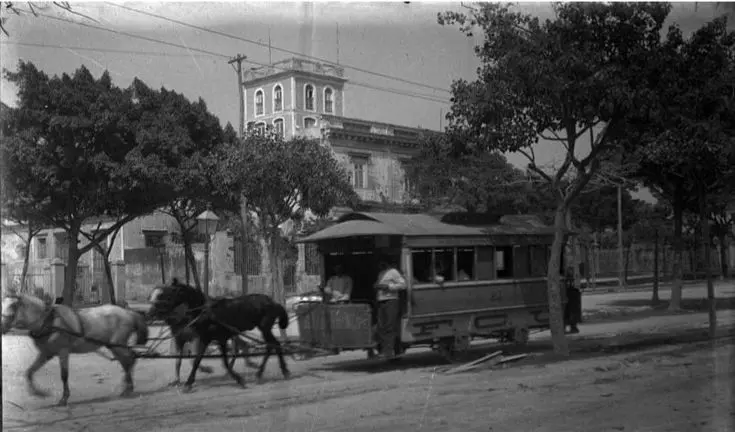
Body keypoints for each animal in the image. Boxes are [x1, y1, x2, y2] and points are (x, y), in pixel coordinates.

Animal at [1, 292, 150, 406]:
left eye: (13, 308)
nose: (2, 328)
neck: (48, 321)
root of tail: (128, 312)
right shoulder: (46, 353)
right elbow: (30, 371)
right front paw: (39, 393)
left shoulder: (63, 351)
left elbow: (64, 375)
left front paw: (64, 398)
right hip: (114, 346)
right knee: (127, 360)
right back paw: (126, 386)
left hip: (117, 345)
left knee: (129, 359)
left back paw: (128, 387)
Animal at [148, 278, 292, 394]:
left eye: (168, 293)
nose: (151, 312)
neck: (206, 312)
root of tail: (274, 302)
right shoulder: (205, 339)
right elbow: (197, 360)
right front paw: (188, 384)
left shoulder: (221, 339)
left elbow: (224, 362)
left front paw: (239, 380)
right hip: (264, 329)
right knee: (272, 345)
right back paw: (264, 373)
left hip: (265, 328)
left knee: (274, 344)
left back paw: (278, 371)